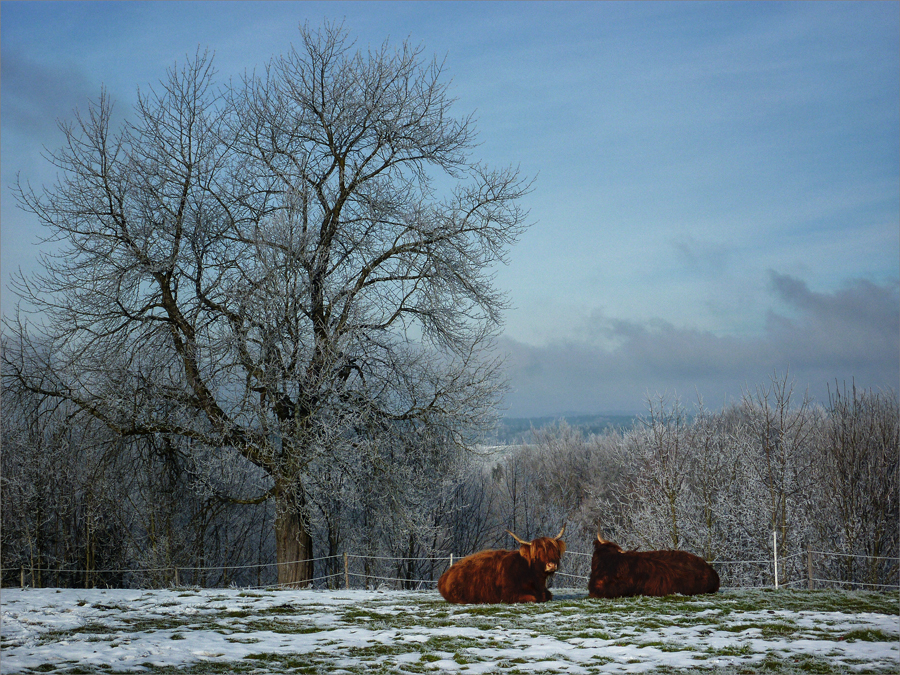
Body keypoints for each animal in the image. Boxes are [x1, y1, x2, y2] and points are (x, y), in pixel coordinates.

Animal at [436, 524, 564, 604]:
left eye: (554, 551)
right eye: (537, 554)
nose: (551, 565)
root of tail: (445, 575)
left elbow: (548, 596)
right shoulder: (510, 594)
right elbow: (532, 598)